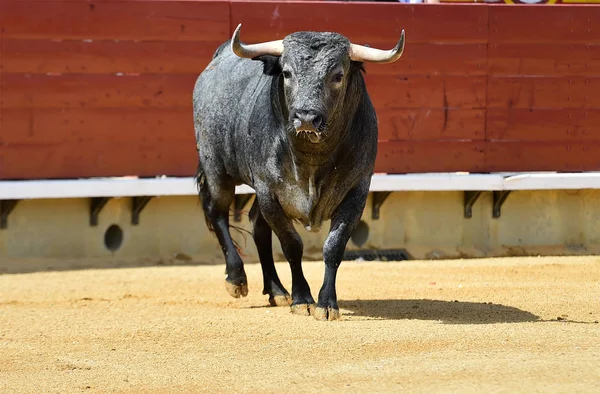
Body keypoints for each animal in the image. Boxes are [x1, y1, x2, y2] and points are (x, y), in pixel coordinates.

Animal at [195, 23, 406, 320]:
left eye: (338, 75)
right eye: (286, 73)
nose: (306, 118)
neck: (312, 160)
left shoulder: (357, 190)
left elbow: (334, 246)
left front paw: (326, 304)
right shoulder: (269, 188)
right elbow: (291, 244)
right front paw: (302, 299)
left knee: (258, 226)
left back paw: (277, 290)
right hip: (217, 169)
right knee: (218, 214)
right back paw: (237, 279)